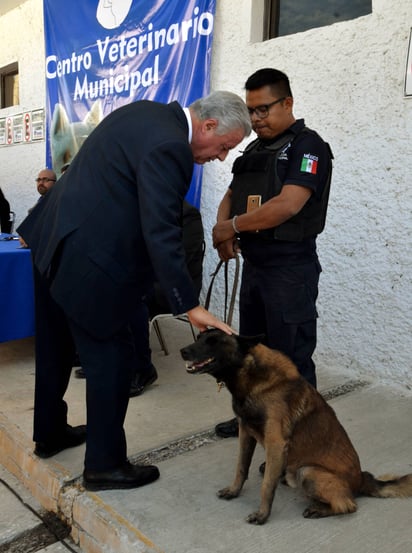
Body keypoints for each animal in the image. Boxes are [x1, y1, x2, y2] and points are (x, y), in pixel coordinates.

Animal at [180, 330, 412, 524]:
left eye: (213, 342)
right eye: (199, 337)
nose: (182, 351)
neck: (253, 377)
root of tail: (361, 478)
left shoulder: (275, 442)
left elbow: (266, 485)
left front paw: (263, 515)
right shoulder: (245, 432)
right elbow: (241, 468)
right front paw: (234, 491)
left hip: (307, 471)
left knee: (349, 505)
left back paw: (320, 509)